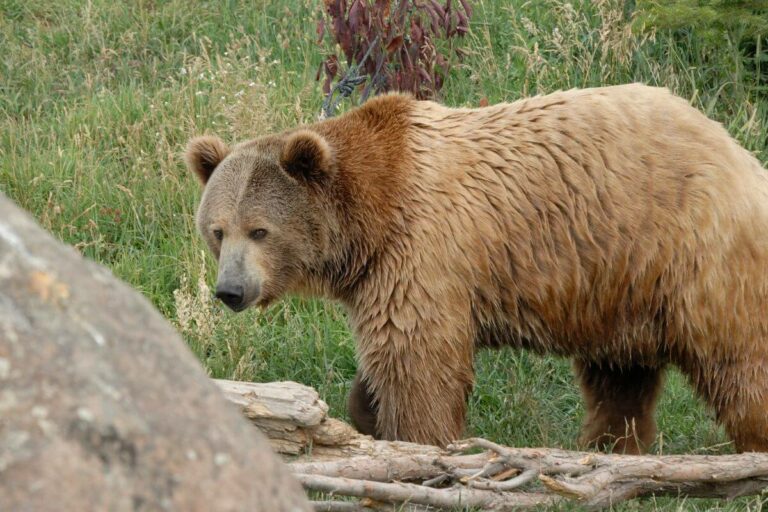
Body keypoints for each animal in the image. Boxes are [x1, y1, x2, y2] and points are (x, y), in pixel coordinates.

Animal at [185, 84, 768, 454]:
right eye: (217, 230)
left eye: (260, 230)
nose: (231, 290)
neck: (372, 216)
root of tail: (740, 154)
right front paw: (366, 409)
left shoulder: (422, 249)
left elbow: (417, 356)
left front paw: (420, 439)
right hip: (619, 281)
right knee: (619, 376)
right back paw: (608, 446)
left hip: (690, 249)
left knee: (736, 357)